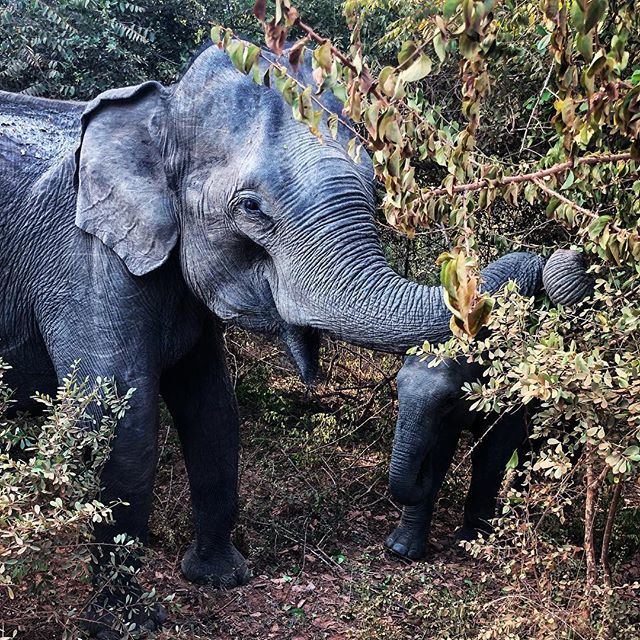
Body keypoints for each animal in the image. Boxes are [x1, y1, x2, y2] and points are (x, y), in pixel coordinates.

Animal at [385, 250, 593, 560]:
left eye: (448, 399)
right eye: (397, 386)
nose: (421, 470)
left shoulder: (512, 393)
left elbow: (492, 454)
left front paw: (471, 543)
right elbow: (441, 450)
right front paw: (401, 549)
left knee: (564, 451)